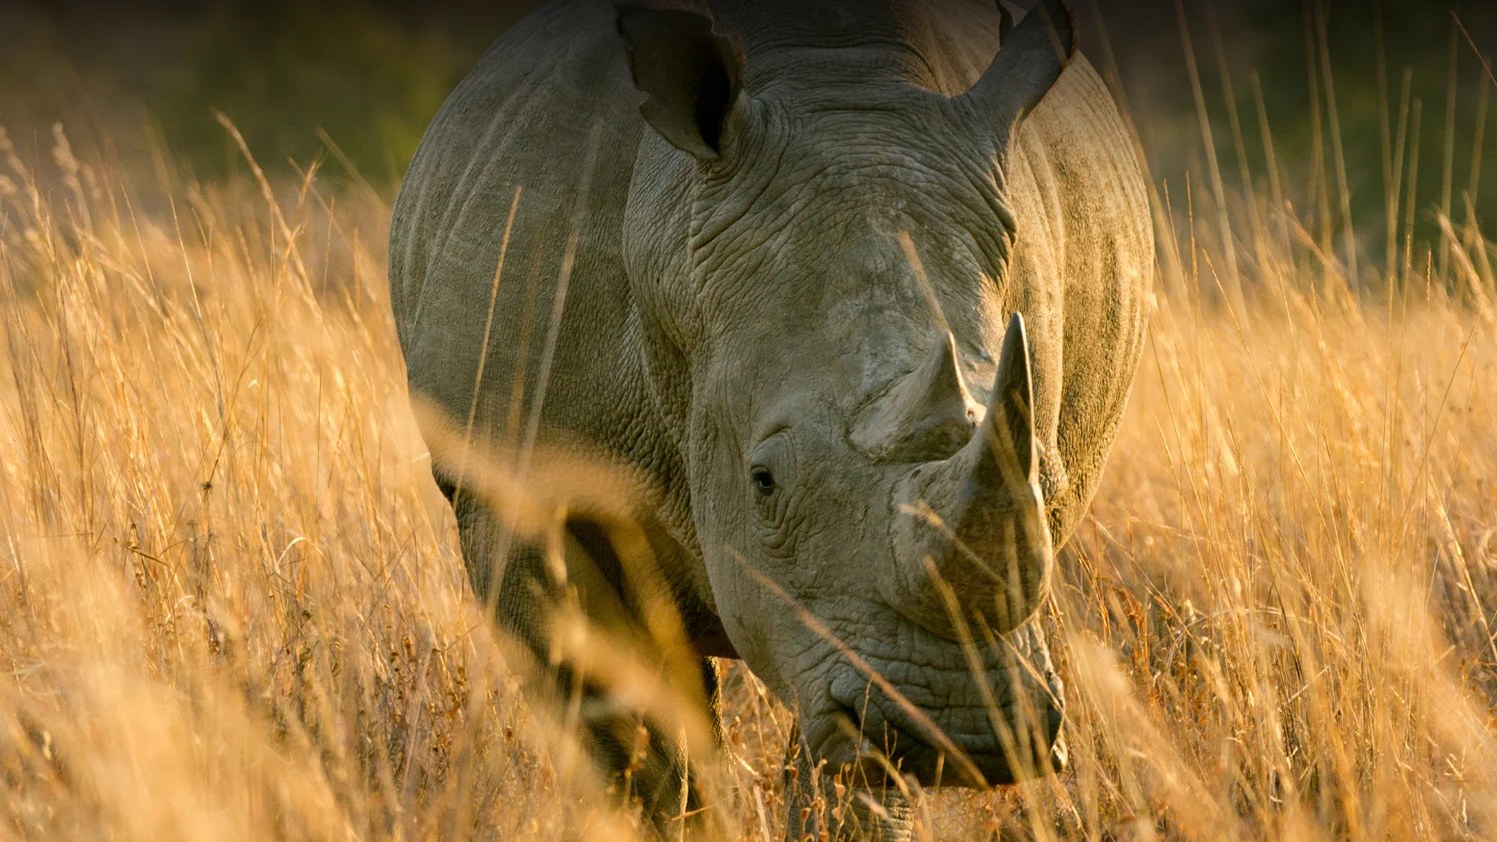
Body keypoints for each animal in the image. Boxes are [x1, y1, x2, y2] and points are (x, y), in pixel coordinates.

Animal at [389, 0, 1151, 834]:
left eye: (1050, 482)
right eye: (763, 481)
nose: (956, 733)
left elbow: (854, 776)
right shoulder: (508, 478)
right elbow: (639, 743)